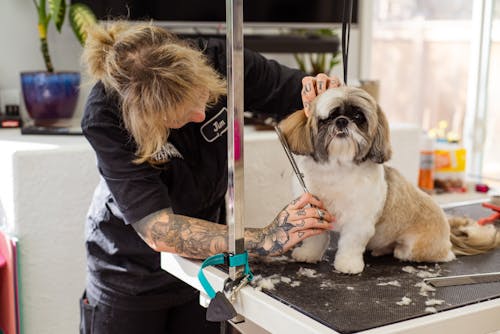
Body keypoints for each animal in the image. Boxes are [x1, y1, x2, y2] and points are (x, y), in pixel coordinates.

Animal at [280, 86, 498, 274]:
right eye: (329, 117)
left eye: (358, 117)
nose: (342, 121)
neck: (337, 167)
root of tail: (449, 234)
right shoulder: (314, 212)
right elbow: (314, 238)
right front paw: (307, 254)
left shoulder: (359, 222)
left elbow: (350, 244)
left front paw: (348, 265)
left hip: (416, 247)